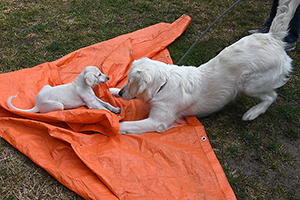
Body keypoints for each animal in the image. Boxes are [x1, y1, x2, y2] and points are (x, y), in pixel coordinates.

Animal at [110, 0, 300, 134]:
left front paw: (113, 126)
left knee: (272, 96)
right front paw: (112, 90)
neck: (163, 85)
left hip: (249, 84)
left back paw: (253, 112)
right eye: (127, 80)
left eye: (132, 82)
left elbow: (128, 124)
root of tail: (273, 37)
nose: (122, 94)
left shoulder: (158, 121)